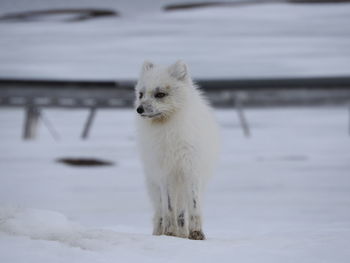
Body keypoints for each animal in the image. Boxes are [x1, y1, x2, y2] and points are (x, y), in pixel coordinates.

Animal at [134, 60, 219, 240]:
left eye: (160, 94)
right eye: (141, 94)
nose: (139, 109)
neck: (169, 132)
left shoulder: (191, 170)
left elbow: (193, 207)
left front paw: (196, 234)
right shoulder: (165, 174)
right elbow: (169, 208)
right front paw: (170, 233)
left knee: (181, 212)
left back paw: (183, 234)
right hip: (155, 185)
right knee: (159, 213)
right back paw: (161, 233)